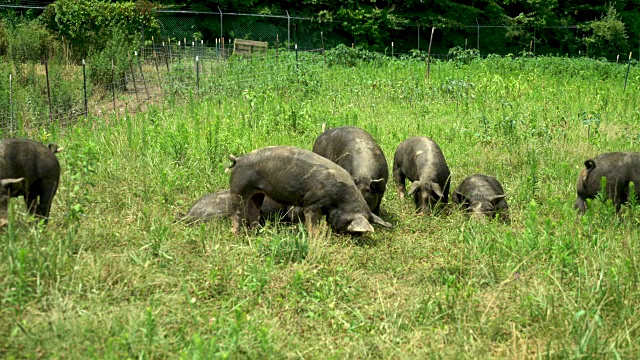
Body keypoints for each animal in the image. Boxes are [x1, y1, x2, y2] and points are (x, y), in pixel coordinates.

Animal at [228, 145, 392, 235]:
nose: (355, 236)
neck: (339, 199)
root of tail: (238, 160)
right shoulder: (312, 203)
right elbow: (312, 222)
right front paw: (315, 237)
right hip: (239, 187)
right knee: (237, 212)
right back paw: (236, 234)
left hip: (257, 193)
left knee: (253, 209)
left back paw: (255, 231)